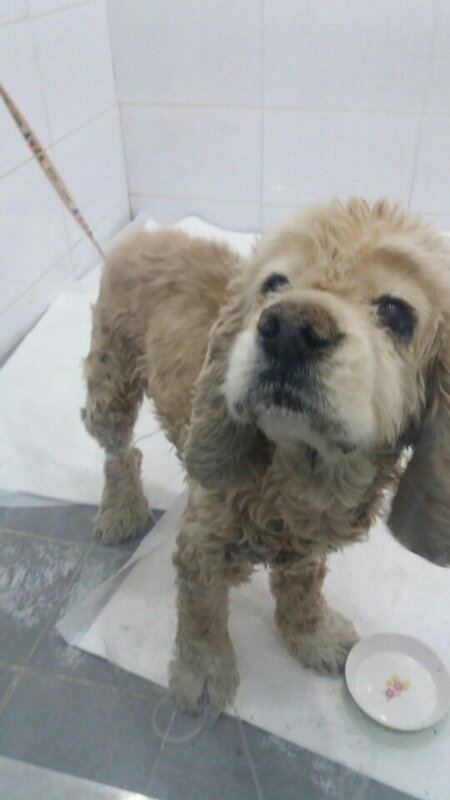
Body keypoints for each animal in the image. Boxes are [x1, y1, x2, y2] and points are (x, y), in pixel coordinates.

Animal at [82, 198, 450, 712]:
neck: (302, 471)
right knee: (118, 451)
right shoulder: (202, 541)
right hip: (110, 378)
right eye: (275, 284)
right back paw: (121, 509)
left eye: (397, 312)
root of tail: (143, 234)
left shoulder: (309, 544)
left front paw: (313, 636)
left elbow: (303, 588)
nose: (290, 329)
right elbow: (202, 613)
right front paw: (203, 675)